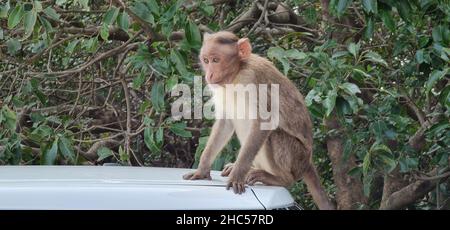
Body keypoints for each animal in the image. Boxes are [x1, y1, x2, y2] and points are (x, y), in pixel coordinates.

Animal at [182, 31, 334, 210]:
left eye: (216, 60)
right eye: (206, 60)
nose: (209, 74)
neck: (237, 73)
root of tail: (307, 162)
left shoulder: (251, 79)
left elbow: (264, 122)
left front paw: (237, 176)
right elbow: (225, 123)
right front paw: (202, 170)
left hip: (297, 158)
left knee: (274, 134)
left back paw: (281, 178)